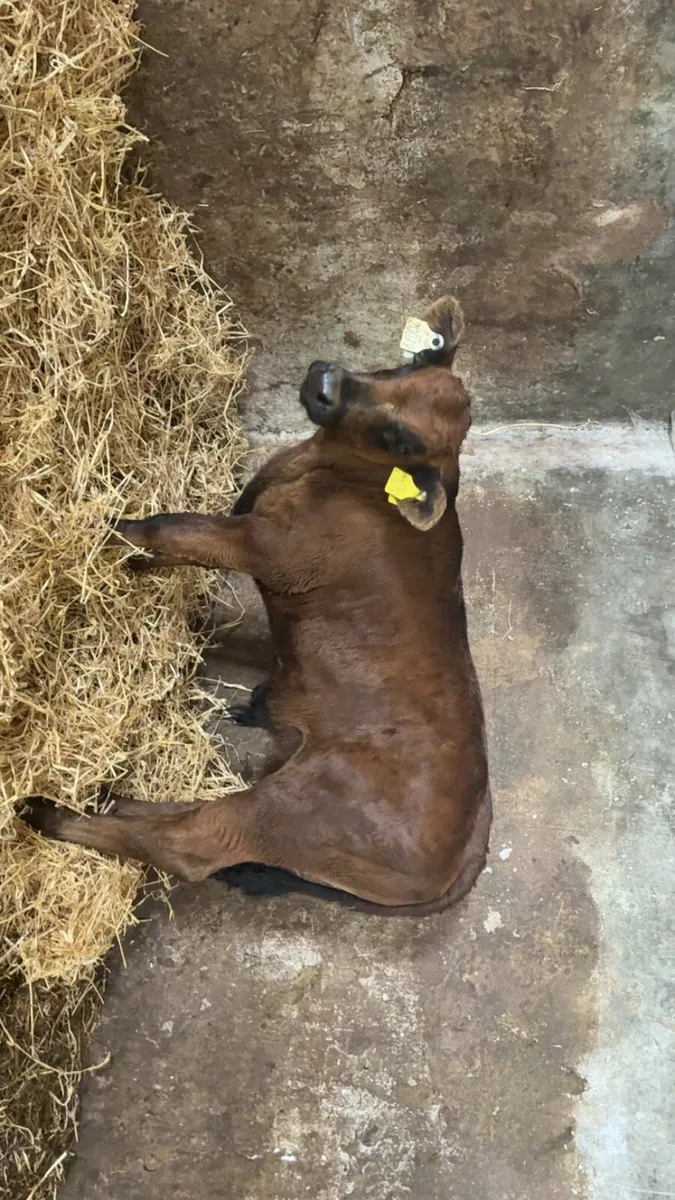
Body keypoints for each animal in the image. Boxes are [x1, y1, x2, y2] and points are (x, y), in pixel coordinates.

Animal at [21, 296, 491, 916]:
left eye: (400, 440)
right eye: (407, 363)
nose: (326, 381)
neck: (332, 474)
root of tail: (471, 845)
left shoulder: (270, 548)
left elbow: (173, 529)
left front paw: (101, 534)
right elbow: (181, 540)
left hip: (293, 813)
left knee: (193, 842)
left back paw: (50, 814)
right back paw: (113, 794)